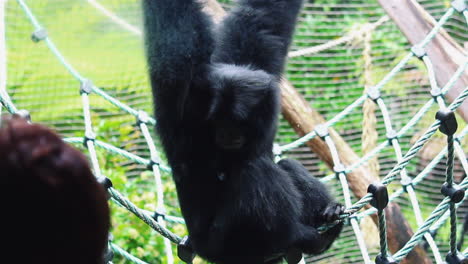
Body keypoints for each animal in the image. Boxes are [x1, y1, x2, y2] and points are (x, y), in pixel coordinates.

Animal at [143, 0, 344, 264]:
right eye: (219, 120)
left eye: (237, 120)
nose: (227, 133)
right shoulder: (183, 105)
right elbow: (174, 44)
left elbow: (263, 19)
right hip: (225, 243)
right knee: (255, 171)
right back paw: (304, 238)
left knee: (285, 164)